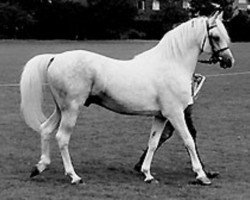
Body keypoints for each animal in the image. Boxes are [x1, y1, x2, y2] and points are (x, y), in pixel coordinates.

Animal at [20, 11, 233, 185]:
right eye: (215, 37)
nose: (229, 61)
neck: (171, 63)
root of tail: (55, 57)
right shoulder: (175, 114)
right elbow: (189, 140)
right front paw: (201, 175)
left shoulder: (160, 116)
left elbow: (153, 143)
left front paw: (147, 174)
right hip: (71, 109)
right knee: (62, 138)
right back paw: (74, 176)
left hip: (61, 109)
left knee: (46, 129)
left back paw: (40, 167)